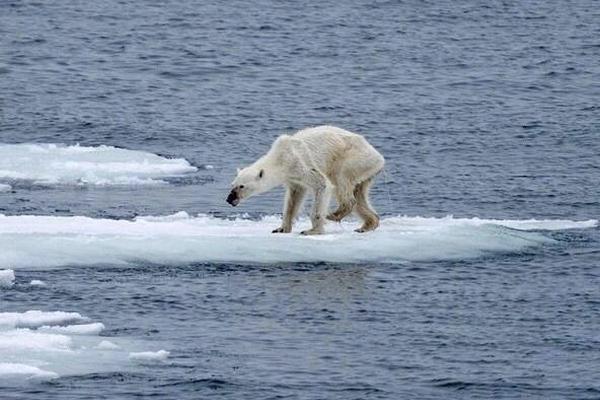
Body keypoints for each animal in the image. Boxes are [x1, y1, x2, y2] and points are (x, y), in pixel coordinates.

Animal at [225, 123, 384, 233]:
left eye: (241, 186)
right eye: (232, 184)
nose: (229, 199)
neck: (280, 158)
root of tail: (379, 157)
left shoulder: (300, 163)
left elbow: (322, 185)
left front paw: (312, 230)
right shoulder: (293, 177)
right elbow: (294, 198)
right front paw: (281, 229)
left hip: (353, 159)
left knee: (341, 180)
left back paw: (334, 214)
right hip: (365, 170)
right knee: (359, 194)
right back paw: (367, 225)